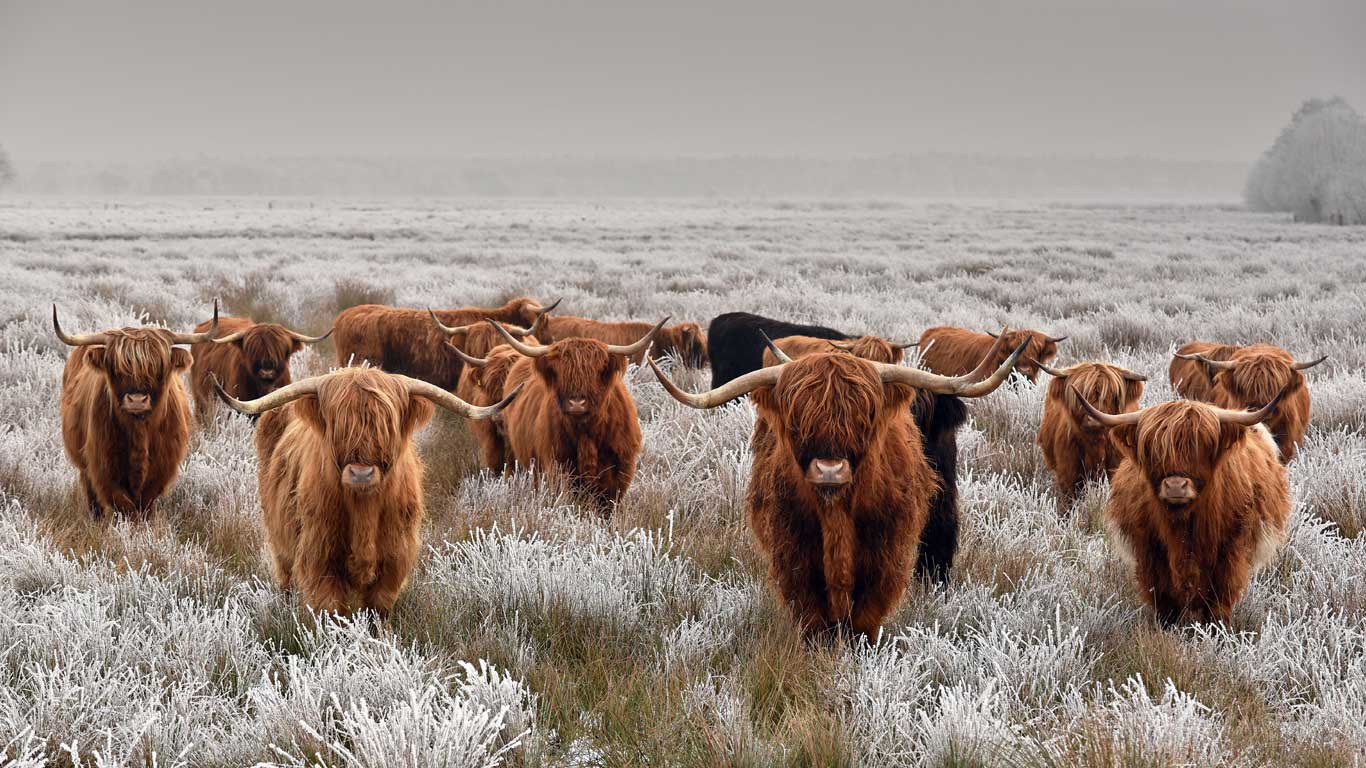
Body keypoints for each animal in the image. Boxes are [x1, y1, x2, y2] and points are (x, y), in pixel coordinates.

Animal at [55, 302, 219, 518]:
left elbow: (143, 506)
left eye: (159, 369)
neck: (139, 432)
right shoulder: (103, 467)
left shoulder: (161, 471)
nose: (137, 400)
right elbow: (123, 505)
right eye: (116, 368)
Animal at [212, 366, 518, 614]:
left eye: (387, 425)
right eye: (338, 424)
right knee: (285, 576)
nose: (361, 473)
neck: (363, 511)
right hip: (280, 540)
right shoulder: (319, 556)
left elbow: (377, 608)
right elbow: (331, 609)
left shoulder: (394, 558)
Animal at [489, 317, 665, 510]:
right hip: (513, 453)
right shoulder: (558, 467)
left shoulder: (619, 473)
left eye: (596, 371)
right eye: (560, 371)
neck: (586, 434)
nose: (576, 403)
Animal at [649, 338, 1027, 641]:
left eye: (864, 418)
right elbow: (814, 618)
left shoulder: (885, 557)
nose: (829, 469)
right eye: (797, 421)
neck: (837, 516)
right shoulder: (794, 555)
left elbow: (865, 617)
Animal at [1074, 390, 1290, 625]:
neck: (1184, 524)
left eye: (1203, 446)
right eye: (1153, 450)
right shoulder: (1149, 550)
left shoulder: (1231, 551)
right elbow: (1163, 598)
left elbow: (1219, 598)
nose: (1175, 486)